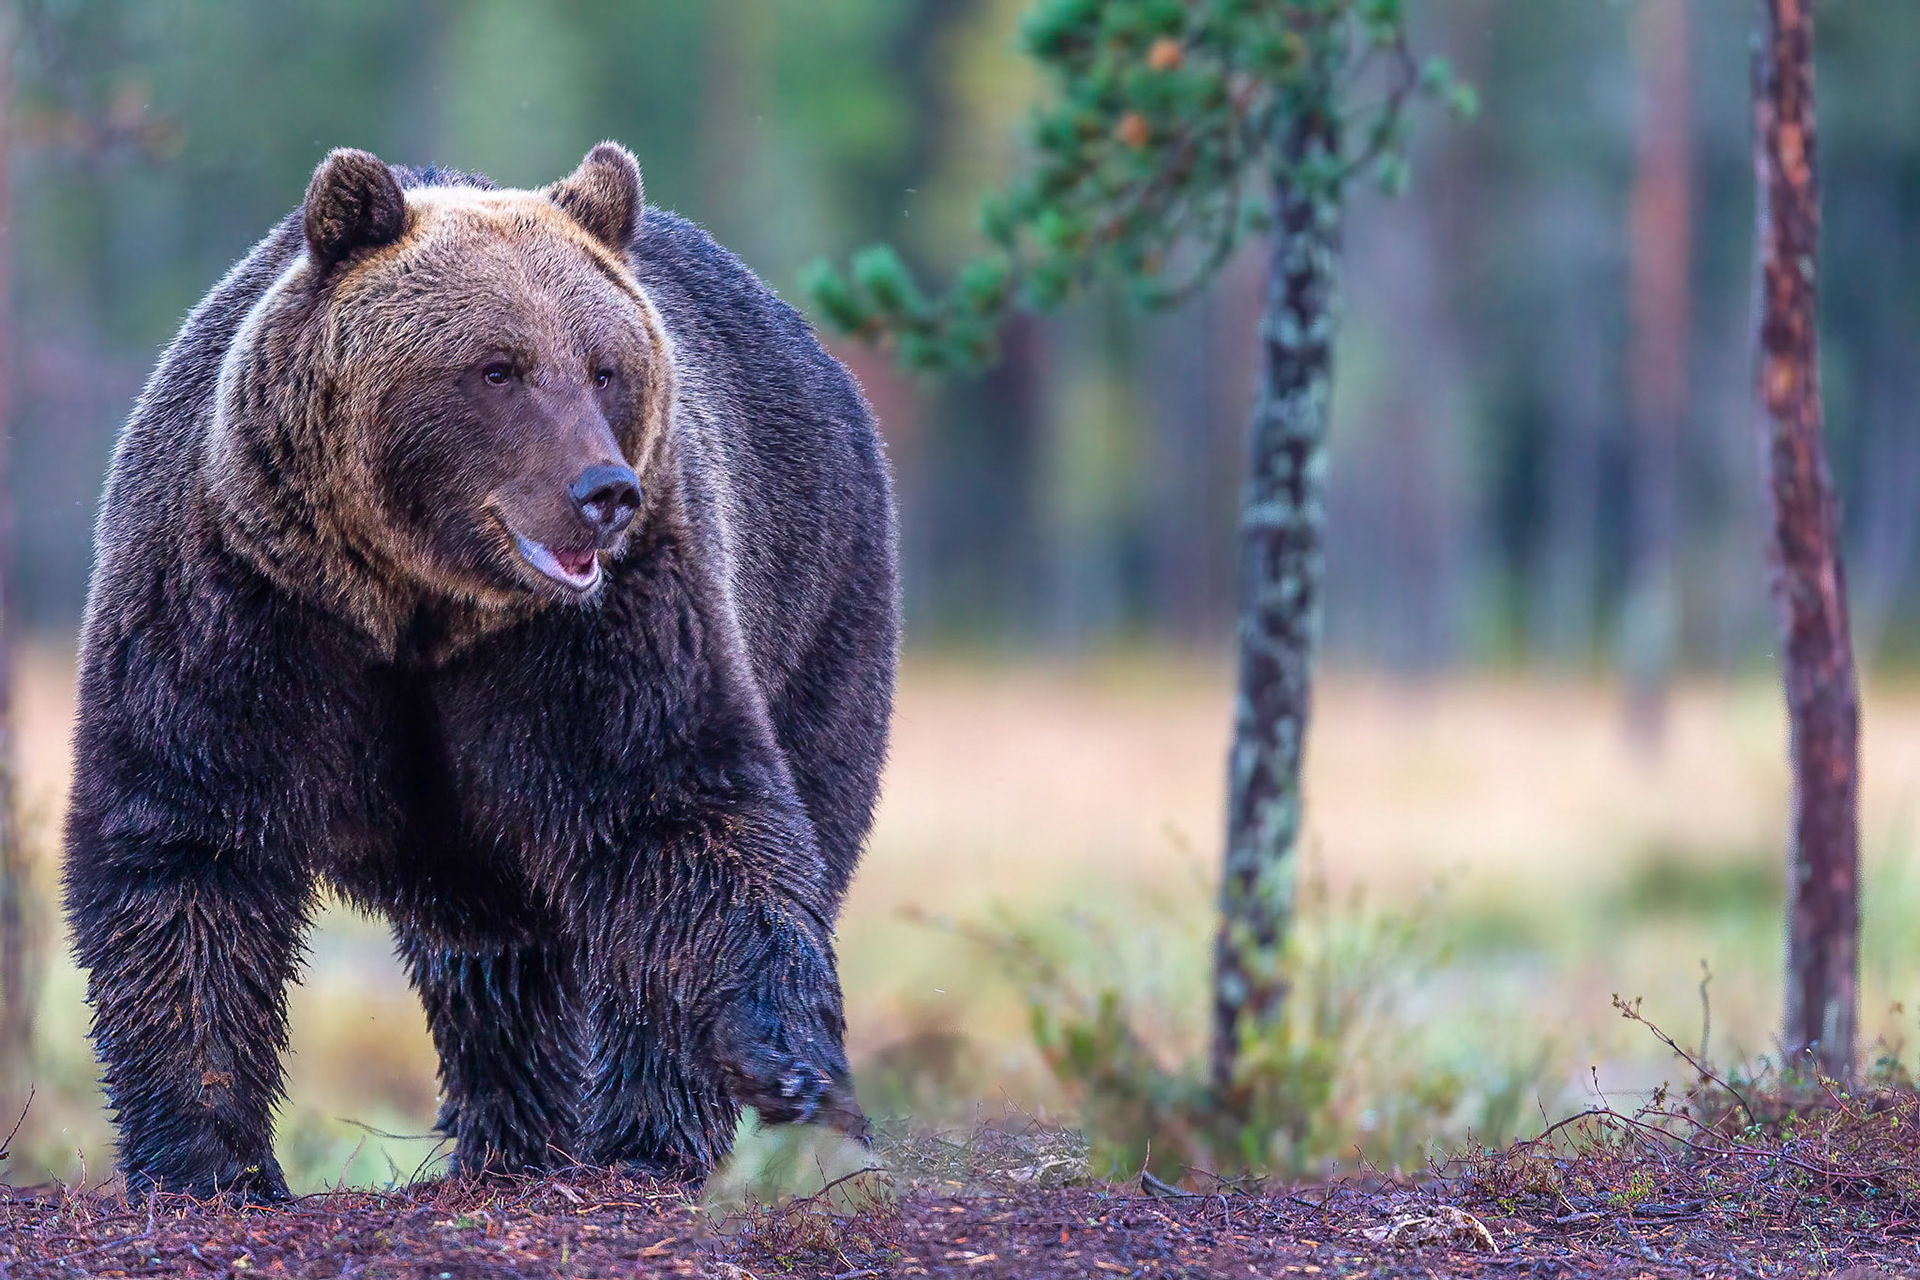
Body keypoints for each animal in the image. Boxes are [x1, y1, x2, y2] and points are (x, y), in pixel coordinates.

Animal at [61, 142, 898, 1201]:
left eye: (604, 366)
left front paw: (789, 1066)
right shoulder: (238, 595)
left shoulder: (605, 628)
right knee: (499, 967)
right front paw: (208, 1158)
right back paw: (511, 1141)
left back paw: (636, 1135)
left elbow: (675, 811)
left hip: (822, 604)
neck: (417, 600)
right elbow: (187, 832)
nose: (604, 492)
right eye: (498, 368)